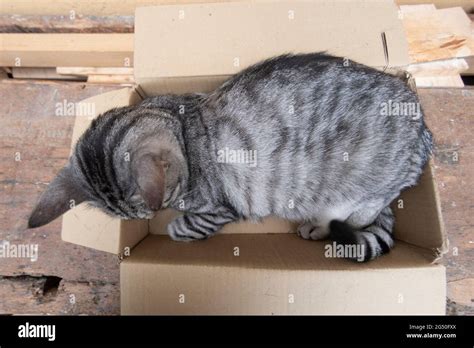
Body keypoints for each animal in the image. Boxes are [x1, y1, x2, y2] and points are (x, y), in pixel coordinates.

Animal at [27, 53, 432, 262]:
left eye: (152, 212)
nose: (154, 216)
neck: (183, 123)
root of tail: (423, 128)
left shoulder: (221, 209)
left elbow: (191, 225)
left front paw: (176, 228)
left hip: (361, 188)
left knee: (359, 211)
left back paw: (318, 226)